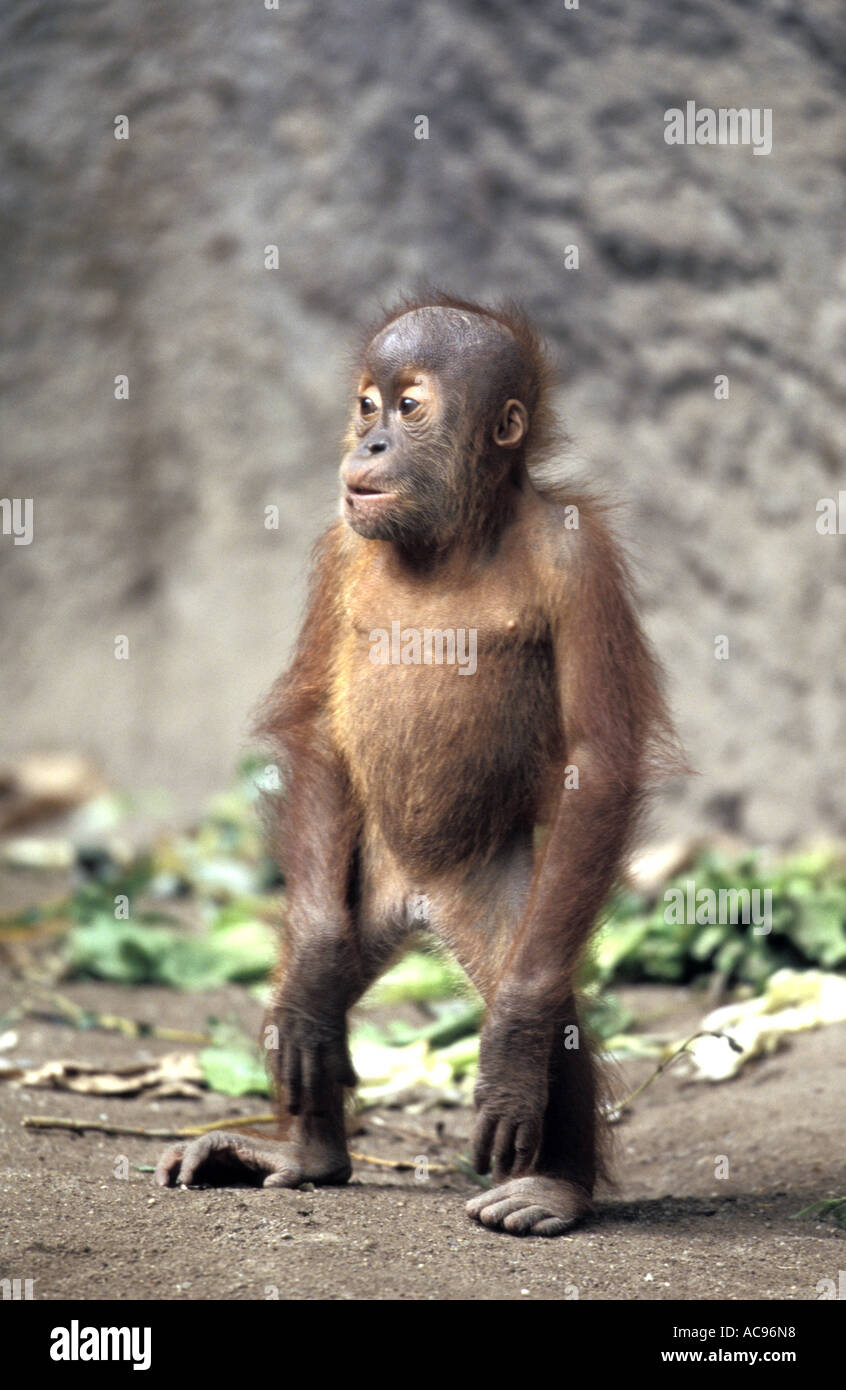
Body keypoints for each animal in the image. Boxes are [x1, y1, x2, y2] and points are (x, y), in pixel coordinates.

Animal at [155, 292, 679, 1236]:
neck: (450, 536)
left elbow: (597, 762)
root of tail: (421, 905)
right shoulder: (339, 547)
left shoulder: (579, 557)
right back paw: (303, 1149)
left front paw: (512, 1055)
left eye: (409, 407)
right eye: (366, 404)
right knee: (314, 966)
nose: (368, 445)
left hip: (499, 895)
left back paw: (553, 1187)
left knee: (541, 991)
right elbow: (318, 728)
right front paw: (310, 1009)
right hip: (363, 882)